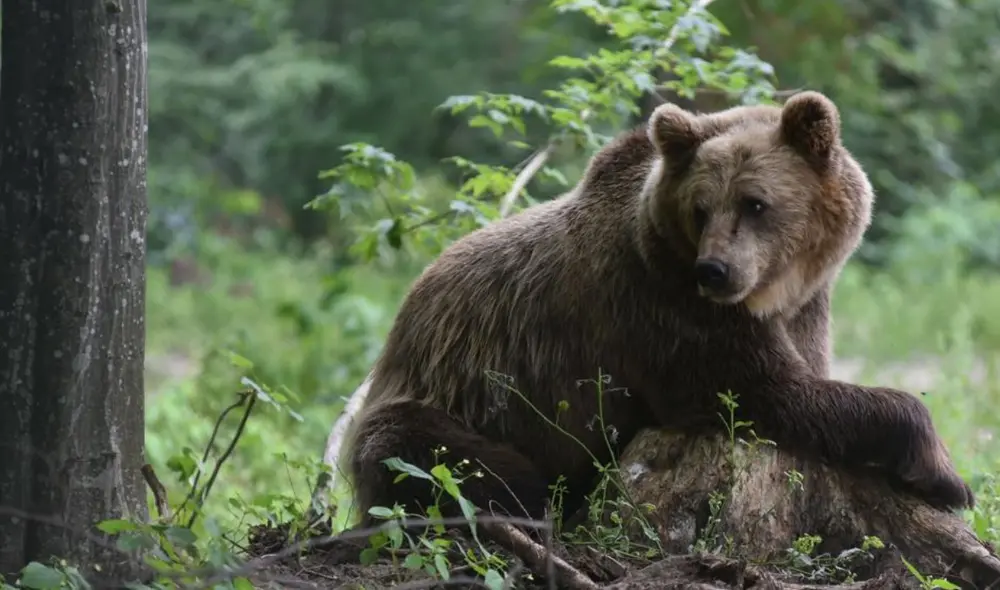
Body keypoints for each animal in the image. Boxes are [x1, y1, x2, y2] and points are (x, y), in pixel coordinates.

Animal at [338, 91, 974, 530]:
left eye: (755, 202)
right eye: (701, 207)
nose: (713, 270)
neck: (771, 292)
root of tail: (400, 326)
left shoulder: (803, 309)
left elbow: (799, 378)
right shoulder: (662, 309)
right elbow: (765, 394)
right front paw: (945, 475)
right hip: (440, 398)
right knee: (427, 456)